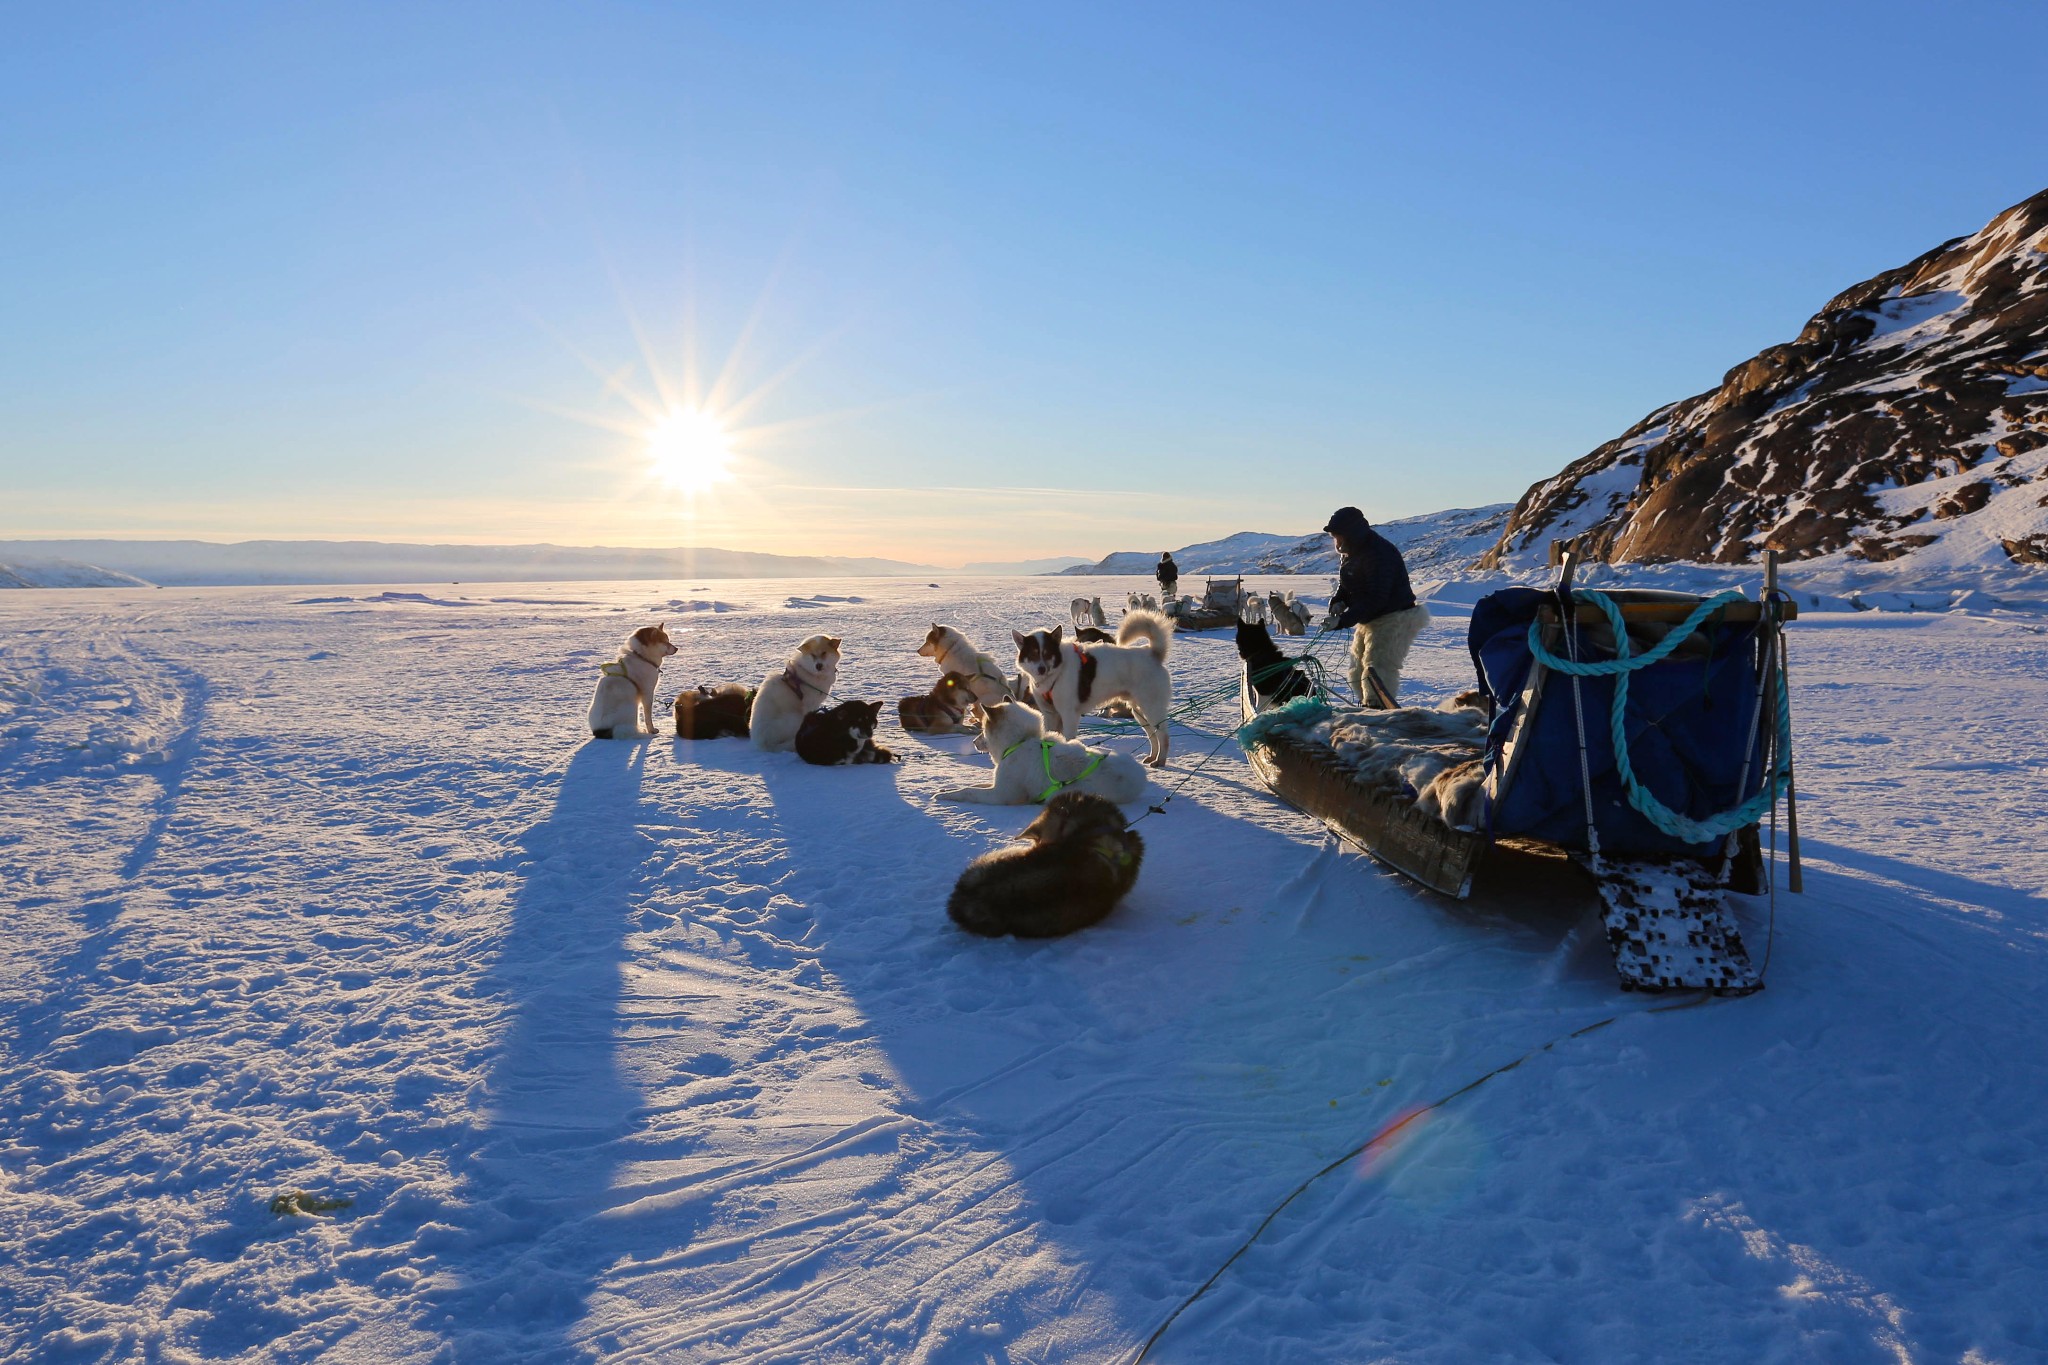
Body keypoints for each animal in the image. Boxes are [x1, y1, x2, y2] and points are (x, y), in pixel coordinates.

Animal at [937, 699, 1146, 806]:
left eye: (982, 729)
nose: (973, 742)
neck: (1020, 741)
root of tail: (1139, 776)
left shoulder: (1002, 795)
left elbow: (969, 791)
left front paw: (947, 795)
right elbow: (975, 785)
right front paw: (945, 789)